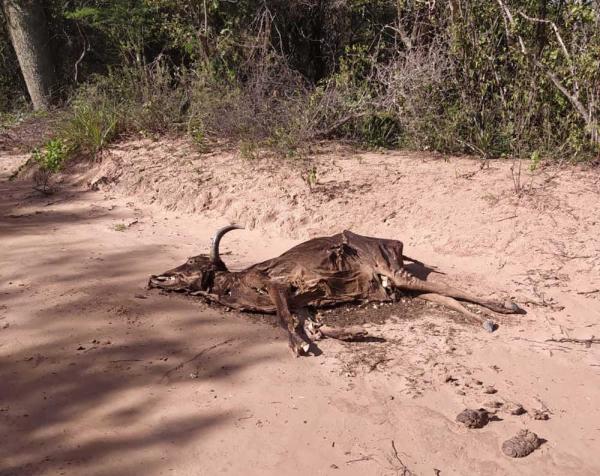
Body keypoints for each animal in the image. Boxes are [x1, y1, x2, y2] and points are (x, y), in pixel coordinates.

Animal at [151, 229, 524, 356]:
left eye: (191, 261)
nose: (154, 277)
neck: (233, 285)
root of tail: (392, 243)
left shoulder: (277, 285)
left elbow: (285, 321)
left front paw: (299, 346)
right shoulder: (300, 301)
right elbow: (311, 323)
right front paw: (353, 333)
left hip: (389, 266)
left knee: (444, 287)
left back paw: (505, 307)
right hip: (398, 286)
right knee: (441, 296)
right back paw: (485, 320)